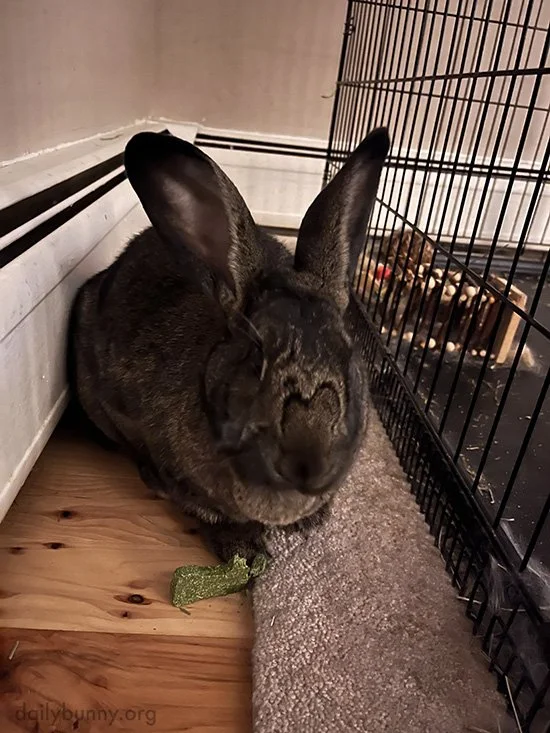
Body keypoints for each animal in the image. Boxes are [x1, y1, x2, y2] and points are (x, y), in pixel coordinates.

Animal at [67, 126, 390, 562]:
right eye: (257, 360)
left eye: (348, 352)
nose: (310, 463)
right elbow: (207, 510)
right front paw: (244, 550)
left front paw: (310, 520)